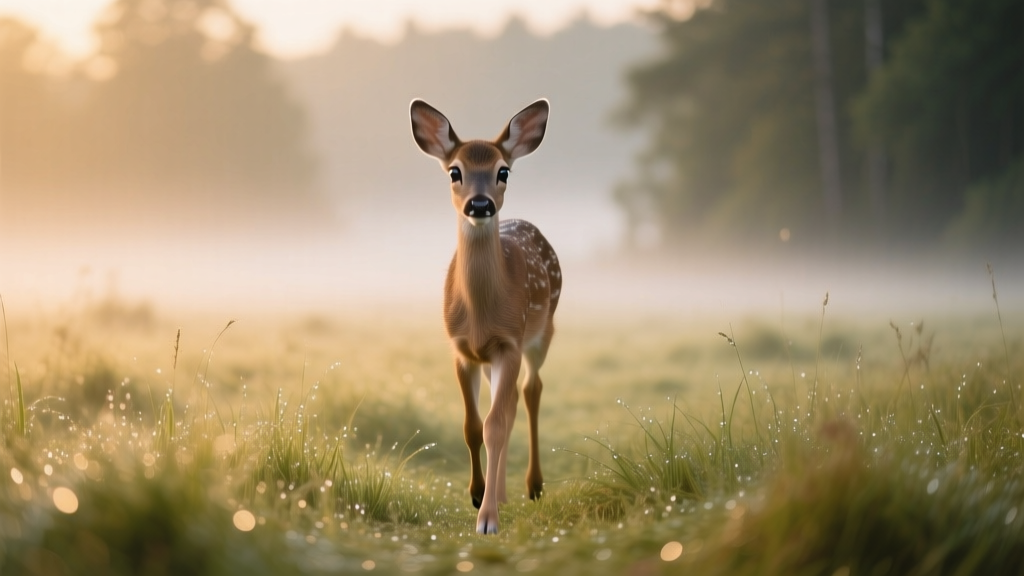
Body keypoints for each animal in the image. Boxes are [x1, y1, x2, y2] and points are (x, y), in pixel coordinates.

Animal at [409, 99, 561, 535]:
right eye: (454, 171)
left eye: (503, 171)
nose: (480, 204)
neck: (480, 316)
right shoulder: (462, 351)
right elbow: (473, 426)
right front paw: (478, 494)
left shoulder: (509, 344)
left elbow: (494, 425)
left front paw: (488, 519)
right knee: (506, 408)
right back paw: (505, 493)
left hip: (542, 333)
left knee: (530, 391)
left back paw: (533, 486)